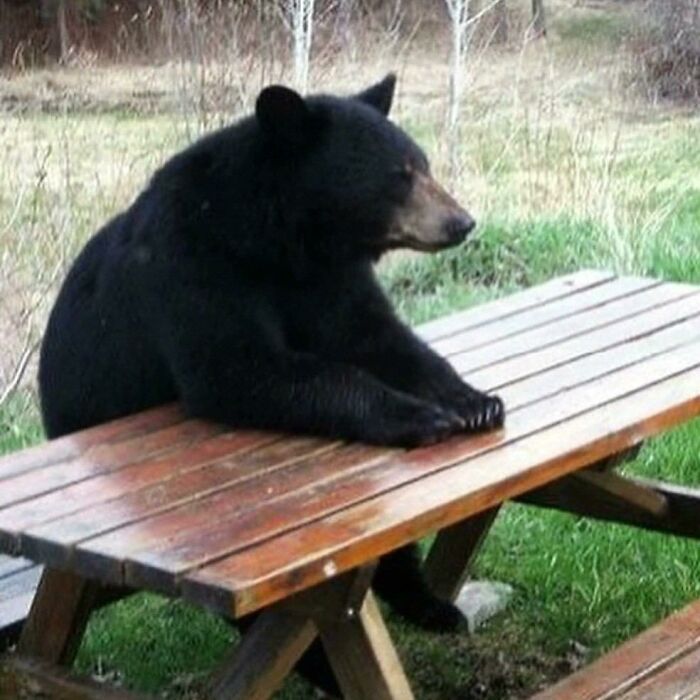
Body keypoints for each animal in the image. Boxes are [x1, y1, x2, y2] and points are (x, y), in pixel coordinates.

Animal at [38, 74, 505, 694]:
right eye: (399, 174)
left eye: (422, 164)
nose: (462, 222)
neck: (283, 239)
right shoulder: (193, 265)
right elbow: (241, 368)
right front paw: (420, 416)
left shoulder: (330, 279)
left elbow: (380, 338)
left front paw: (474, 401)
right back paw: (327, 668)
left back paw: (431, 606)